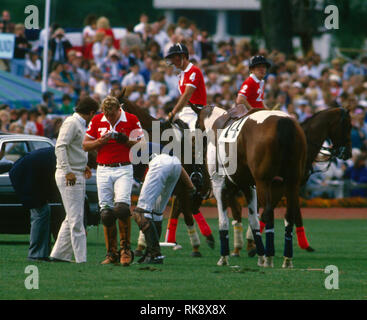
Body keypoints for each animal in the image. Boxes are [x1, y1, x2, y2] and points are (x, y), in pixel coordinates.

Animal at [197, 105, 310, 268]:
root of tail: (284, 122)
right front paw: (260, 255)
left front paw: (224, 257)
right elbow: (253, 220)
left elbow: (223, 221)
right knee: (289, 215)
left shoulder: (220, 185)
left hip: (264, 182)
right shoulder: (249, 186)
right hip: (291, 182)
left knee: (269, 213)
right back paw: (286, 259)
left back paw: (269, 258)